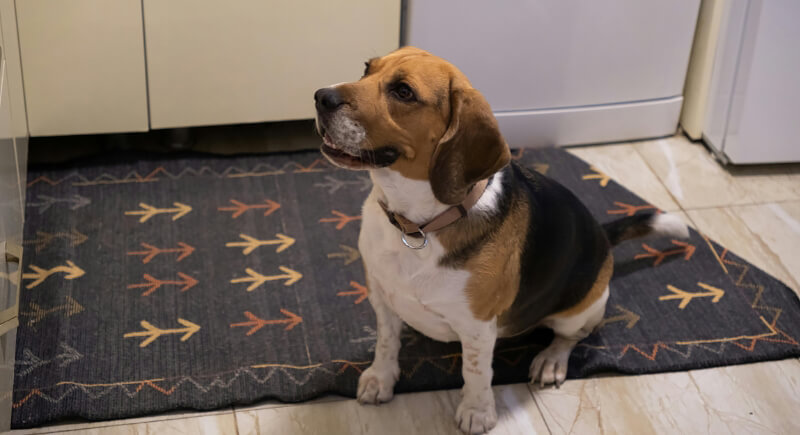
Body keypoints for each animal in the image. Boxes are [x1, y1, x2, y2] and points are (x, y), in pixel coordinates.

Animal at [314, 46, 688, 434]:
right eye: (366, 69)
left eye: (403, 92)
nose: (321, 97)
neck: (417, 226)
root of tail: (601, 233)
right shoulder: (381, 296)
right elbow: (386, 342)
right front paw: (380, 378)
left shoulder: (478, 326)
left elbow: (476, 372)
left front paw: (477, 411)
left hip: (580, 309)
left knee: (571, 337)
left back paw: (551, 360)